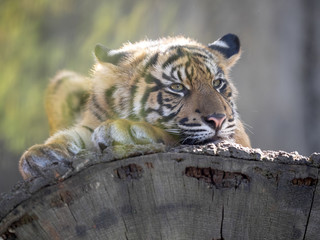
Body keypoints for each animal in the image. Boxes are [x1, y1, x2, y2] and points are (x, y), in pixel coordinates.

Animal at [19, 33, 250, 180]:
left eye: (217, 83)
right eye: (176, 87)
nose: (218, 119)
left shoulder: (237, 136)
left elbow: (172, 136)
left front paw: (124, 129)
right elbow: (73, 134)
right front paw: (42, 154)